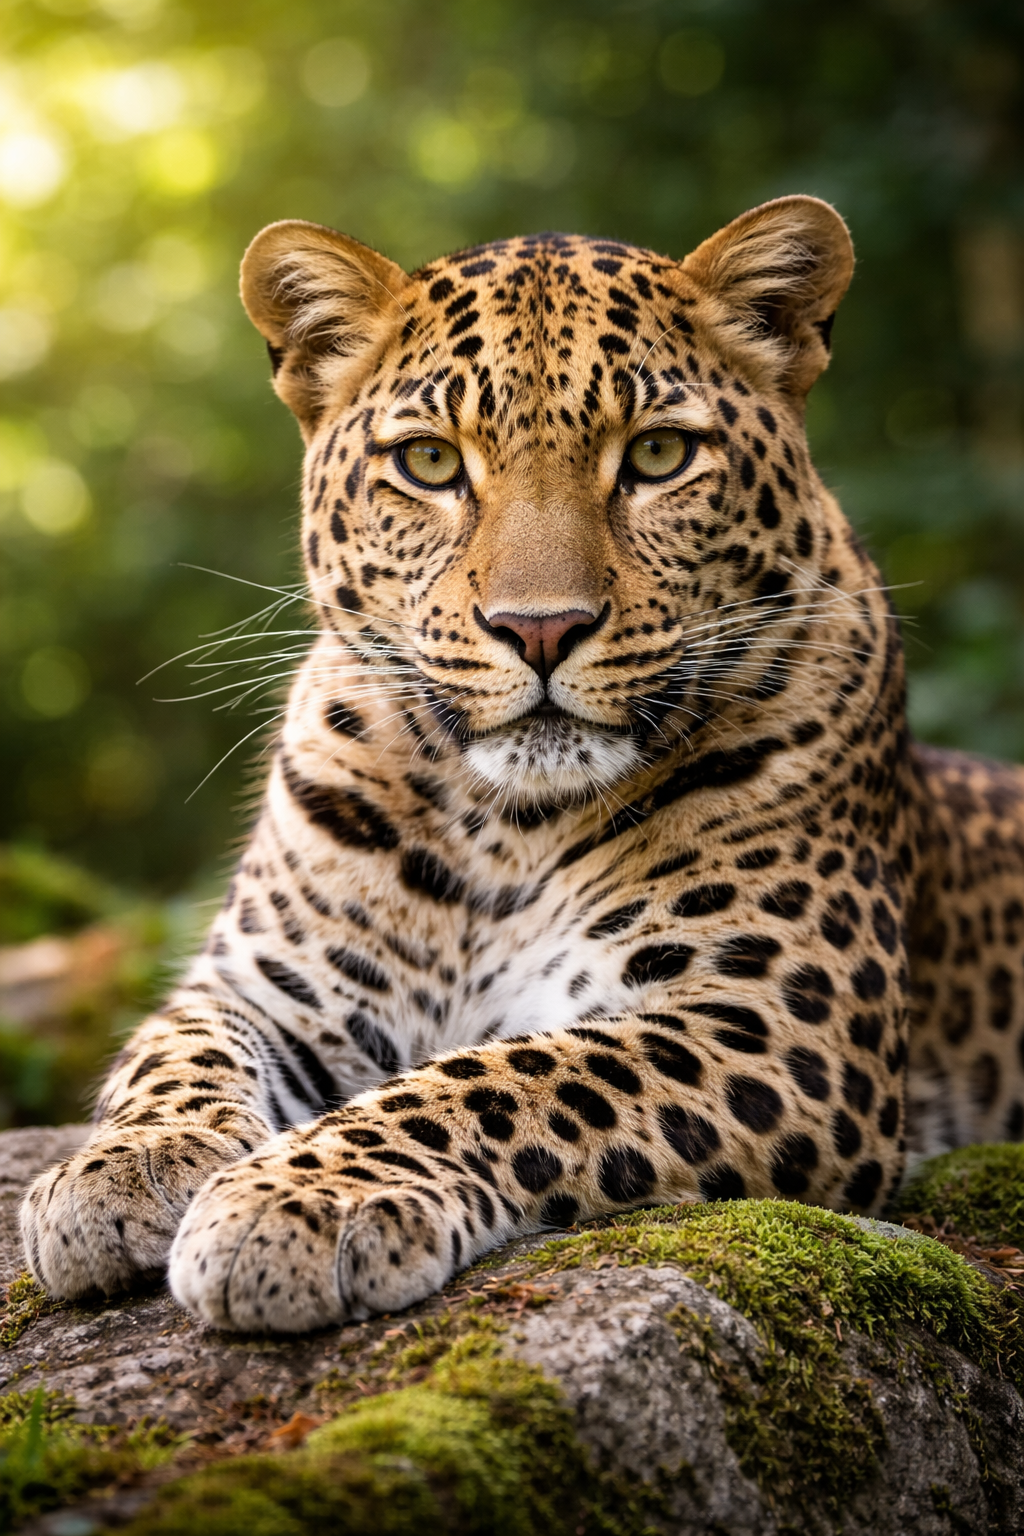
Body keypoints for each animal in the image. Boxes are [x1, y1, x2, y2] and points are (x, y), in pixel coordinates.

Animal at [21, 195, 1024, 1334]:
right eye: (428, 464)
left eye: (659, 454)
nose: (540, 629)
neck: (502, 823)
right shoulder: (265, 984)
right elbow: (175, 1053)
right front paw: (119, 1172)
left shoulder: (775, 1024)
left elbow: (510, 1079)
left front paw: (300, 1199)